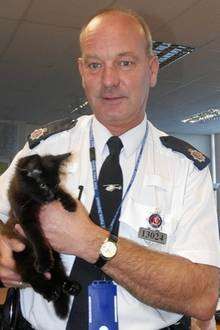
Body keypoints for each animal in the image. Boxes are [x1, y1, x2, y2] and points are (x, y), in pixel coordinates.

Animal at [1, 153, 80, 318]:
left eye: (56, 184)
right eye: (43, 185)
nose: (51, 196)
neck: (33, 199)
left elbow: (62, 192)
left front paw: (70, 203)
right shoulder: (24, 216)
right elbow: (37, 237)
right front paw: (43, 260)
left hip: (56, 256)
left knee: (58, 271)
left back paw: (69, 285)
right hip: (22, 256)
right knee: (29, 275)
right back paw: (50, 291)